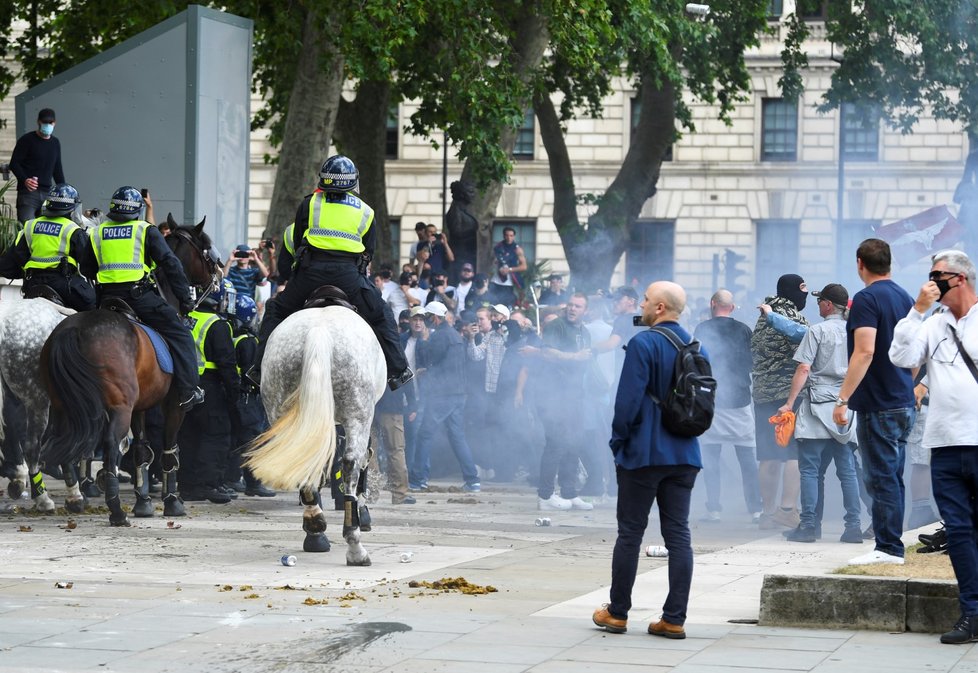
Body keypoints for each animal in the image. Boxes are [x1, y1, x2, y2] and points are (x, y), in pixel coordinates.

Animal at [39, 217, 216, 524]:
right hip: (117, 406)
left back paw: (76, 498)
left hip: (64, 405)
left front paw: (143, 502)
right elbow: (168, 449)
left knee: (60, 442)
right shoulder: (174, 404)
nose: (217, 278)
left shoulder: (140, 407)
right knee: (109, 445)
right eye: (205, 248)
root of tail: (73, 329)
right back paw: (115, 509)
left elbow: (142, 450)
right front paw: (172, 500)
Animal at [244, 302, 386, 564]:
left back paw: (315, 528)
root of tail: (318, 331)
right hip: (357, 412)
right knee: (351, 463)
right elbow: (362, 462)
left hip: (283, 406)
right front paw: (363, 511)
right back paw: (355, 548)